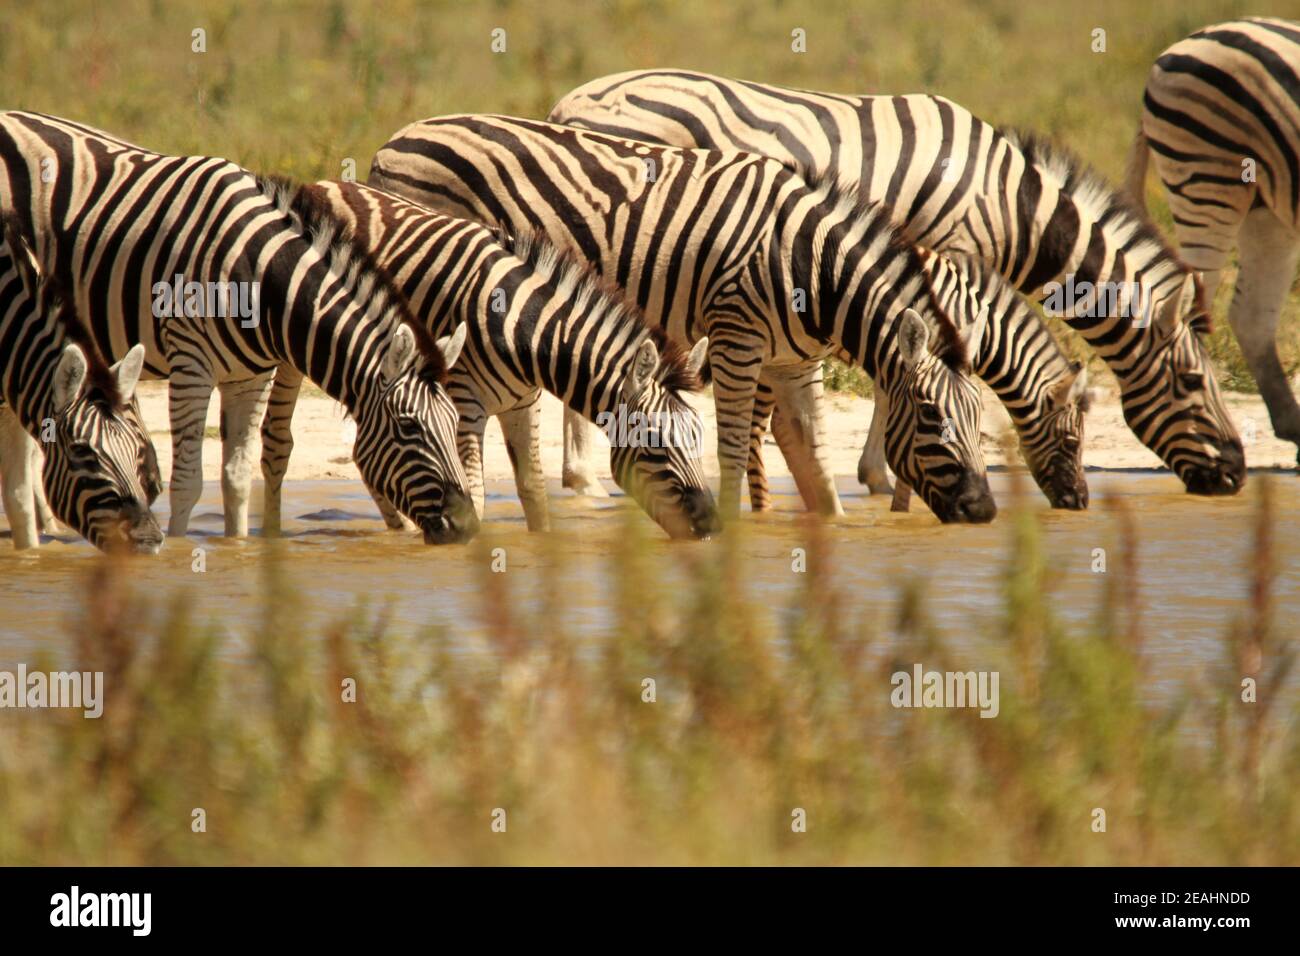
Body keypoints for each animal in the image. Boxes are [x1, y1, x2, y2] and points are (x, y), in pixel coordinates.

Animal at [257, 180, 720, 540]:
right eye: (655, 442)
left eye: (699, 436)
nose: (711, 524)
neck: (523, 328)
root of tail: (323, 183)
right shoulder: (465, 404)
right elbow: (476, 493)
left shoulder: (522, 403)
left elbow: (533, 490)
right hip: (298, 351)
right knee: (277, 437)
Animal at [371, 114, 995, 524]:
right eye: (933, 415)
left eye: (976, 419)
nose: (986, 510)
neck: (813, 266)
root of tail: (393, 141)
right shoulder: (736, 337)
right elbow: (734, 445)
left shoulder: (795, 361)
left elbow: (813, 456)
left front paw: (833, 529)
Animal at [549, 69, 1246, 497]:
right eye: (1192, 382)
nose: (1237, 475)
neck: (1009, 205)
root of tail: (570, 101)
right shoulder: (949, 255)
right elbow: (914, 362)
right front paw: (882, 473)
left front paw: (881, 471)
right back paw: (581, 478)